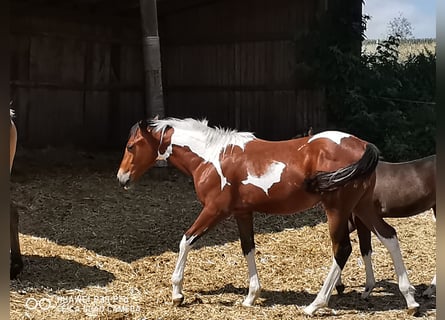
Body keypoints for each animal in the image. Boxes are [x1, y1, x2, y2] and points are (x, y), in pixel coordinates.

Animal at [116, 118, 418, 316]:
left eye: (131, 146)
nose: (121, 179)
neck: (211, 156)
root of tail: (364, 145)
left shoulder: (214, 211)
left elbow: (186, 241)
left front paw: (177, 293)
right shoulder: (242, 213)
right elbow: (247, 248)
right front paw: (251, 296)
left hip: (337, 210)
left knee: (342, 249)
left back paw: (315, 304)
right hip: (362, 206)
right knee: (389, 236)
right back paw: (410, 300)